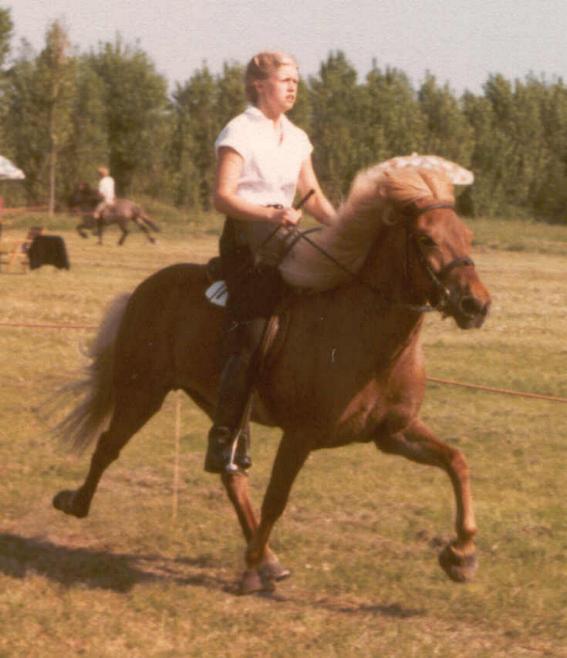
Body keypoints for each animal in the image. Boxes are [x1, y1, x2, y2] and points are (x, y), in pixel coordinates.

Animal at [52, 167, 492, 592]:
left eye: (468, 236)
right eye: (425, 238)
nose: (476, 305)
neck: (367, 337)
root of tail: (143, 290)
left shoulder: (394, 433)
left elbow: (457, 461)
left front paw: (462, 555)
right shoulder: (300, 435)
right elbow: (277, 499)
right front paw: (248, 568)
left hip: (218, 404)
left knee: (230, 473)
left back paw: (268, 560)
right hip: (143, 391)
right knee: (109, 446)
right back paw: (75, 503)